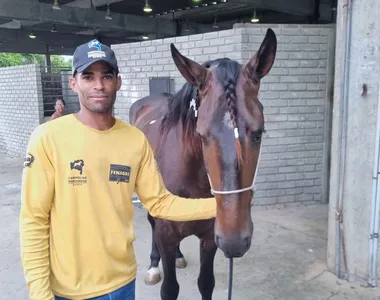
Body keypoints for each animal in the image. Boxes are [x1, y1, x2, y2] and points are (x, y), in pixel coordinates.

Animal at [129, 28, 278, 300]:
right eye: (202, 135)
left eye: (259, 133)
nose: (234, 241)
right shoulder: (166, 235)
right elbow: (170, 289)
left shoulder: (210, 237)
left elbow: (206, 283)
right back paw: (154, 266)